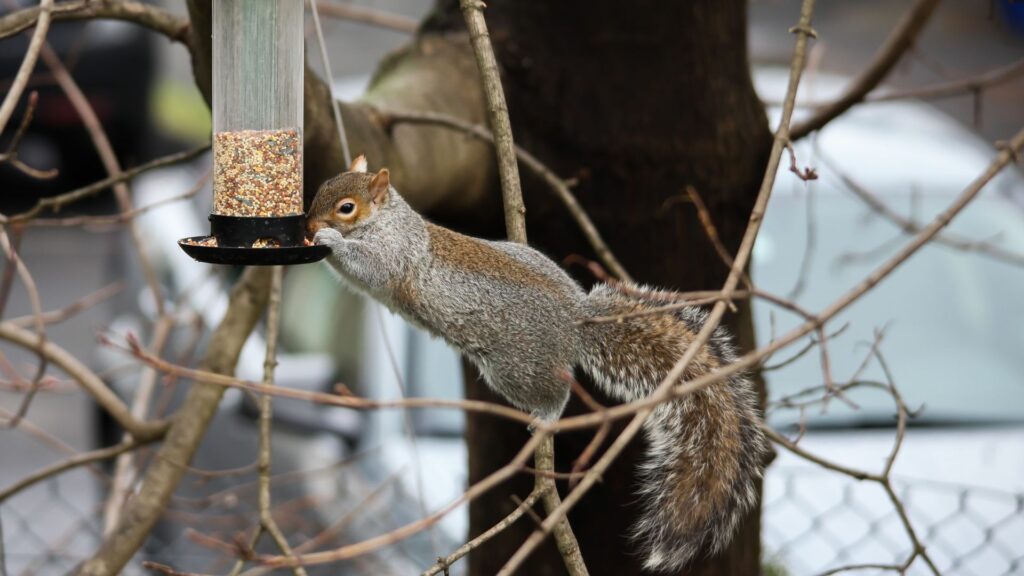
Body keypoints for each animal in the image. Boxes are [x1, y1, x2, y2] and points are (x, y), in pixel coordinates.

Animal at [307, 155, 769, 572]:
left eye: (346, 207)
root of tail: (576, 319)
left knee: (554, 393)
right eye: (319, 188)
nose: (309, 226)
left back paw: (546, 416)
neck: (386, 221)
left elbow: (368, 266)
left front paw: (332, 241)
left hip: (515, 367)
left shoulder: (394, 256)